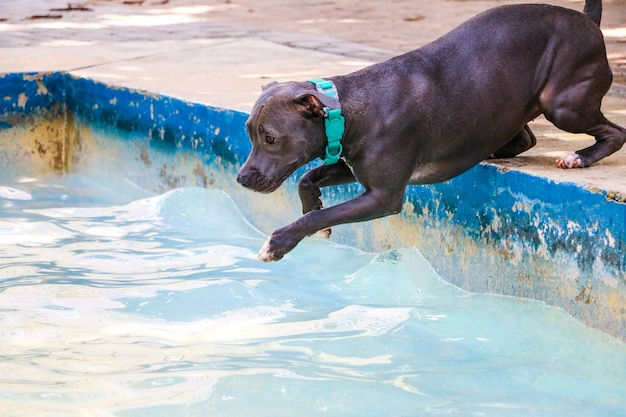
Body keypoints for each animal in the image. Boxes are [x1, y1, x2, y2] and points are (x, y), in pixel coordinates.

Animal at [235, 0, 624, 260]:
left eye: (270, 138)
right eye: (250, 133)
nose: (242, 179)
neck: (346, 111)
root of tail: (585, 18)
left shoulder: (383, 196)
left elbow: (322, 210)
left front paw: (279, 242)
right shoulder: (354, 168)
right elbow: (307, 179)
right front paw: (311, 207)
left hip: (562, 103)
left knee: (615, 133)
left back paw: (580, 156)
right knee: (525, 137)